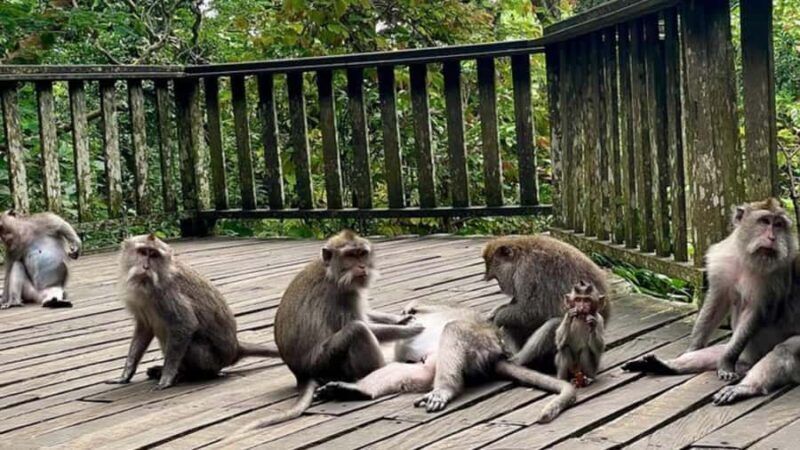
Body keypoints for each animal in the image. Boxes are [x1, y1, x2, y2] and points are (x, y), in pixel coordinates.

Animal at [108, 234, 279, 389]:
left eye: (154, 255)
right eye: (143, 252)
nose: (146, 267)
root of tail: (235, 348)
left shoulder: (168, 293)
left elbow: (185, 324)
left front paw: (167, 377)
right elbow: (144, 328)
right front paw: (126, 374)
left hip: (211, 359)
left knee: (191, 342)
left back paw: (191, 374)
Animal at [228, 230, 424, 437]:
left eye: (362, 254)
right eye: (350, 255)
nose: (362, 266)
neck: (331, 271)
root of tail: (301, 374)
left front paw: (403, 319)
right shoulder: (343, 294)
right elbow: (364, 325)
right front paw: (412, 329)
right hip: (324, 362)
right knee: (357, 330)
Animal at [317, 301, 577, 423]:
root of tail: (496, 354)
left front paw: (409, 311)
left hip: (480, 344)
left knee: (454, 330)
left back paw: (446, 389)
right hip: (434, 359)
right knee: (414, 372)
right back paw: (357, 390)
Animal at [482, 235, 610, 371]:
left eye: (496, 277)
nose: (501, 286)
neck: (521, 255)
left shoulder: (527, 272)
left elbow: (533, 312)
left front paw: (497, 319)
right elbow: (519, 305)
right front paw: (495, 312)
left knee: (555, 324)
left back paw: (518, 360)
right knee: (512, 324)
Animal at [622, 198, 800, 405]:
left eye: (779, 225)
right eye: (765, 221)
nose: (772, 238)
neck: (746, 259)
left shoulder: (773, 277)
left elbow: (754, 312)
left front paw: (726, 364)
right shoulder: (723, 261)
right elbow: (716, 302)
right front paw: (693, 348)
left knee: (783, 351)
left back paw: (746, 387)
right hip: (749, 354)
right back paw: (666, 366)